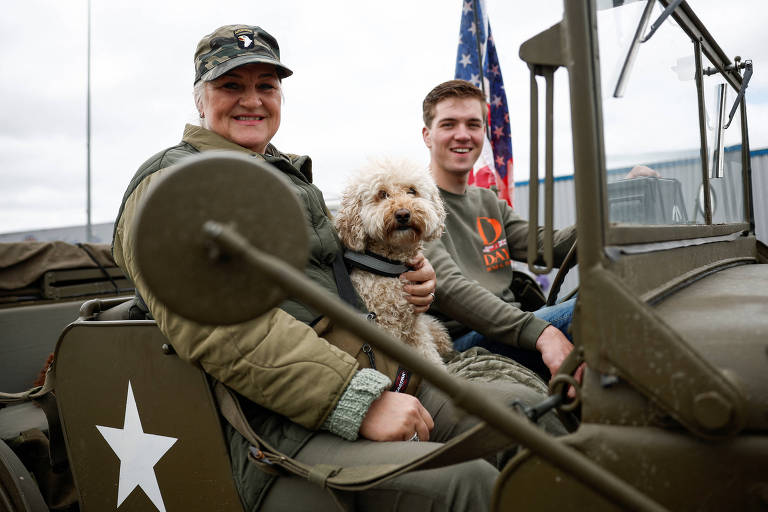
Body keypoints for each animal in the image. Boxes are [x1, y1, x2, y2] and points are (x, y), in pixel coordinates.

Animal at [334, 159, 452, 364]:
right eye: (382, 194)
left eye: (412, 191)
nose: (403, 214)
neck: (390, 267)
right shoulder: (386, 327)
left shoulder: (415, 329)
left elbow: (429, 355)